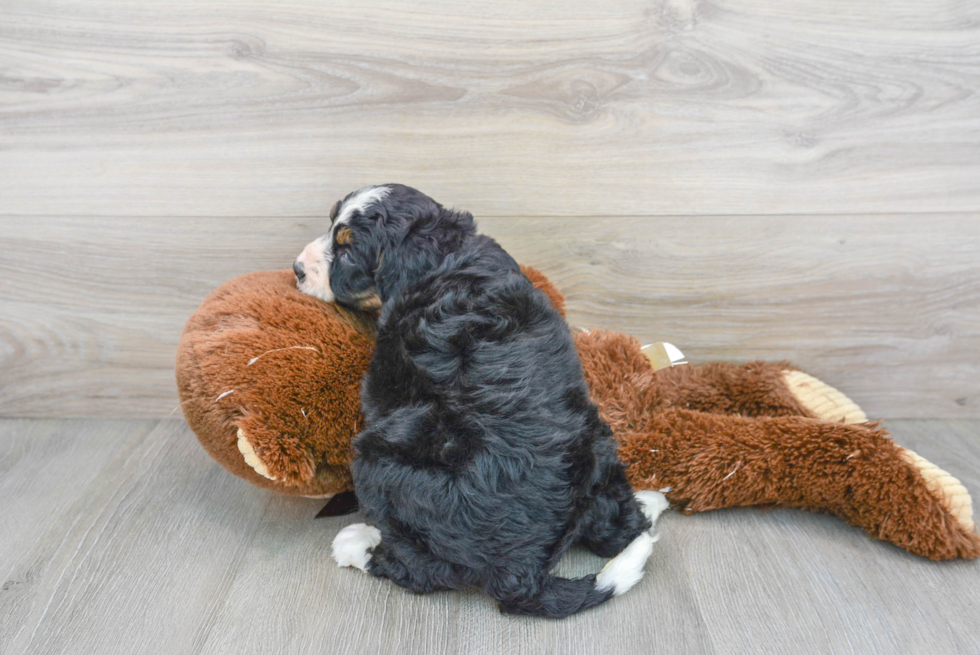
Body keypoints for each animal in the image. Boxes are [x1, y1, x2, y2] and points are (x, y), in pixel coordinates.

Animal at [294, 186, 668, 620]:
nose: (296, 269)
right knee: (618, 529)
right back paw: (648, 504)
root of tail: (522, 571)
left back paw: (358, 544)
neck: (449, 258)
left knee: (422, 572)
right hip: (598, 443)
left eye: (349, 252)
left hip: (378, 459)